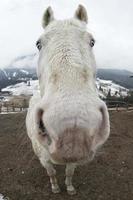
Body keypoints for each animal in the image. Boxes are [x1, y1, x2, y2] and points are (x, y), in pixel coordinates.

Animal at [25, 5, 109, 195]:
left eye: (92, 42)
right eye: (38, 44)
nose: (73, 132)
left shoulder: (74, 158)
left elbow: (69, 172)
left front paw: (69, 188)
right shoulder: (44, 159)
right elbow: (51, 172)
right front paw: (55, 188)